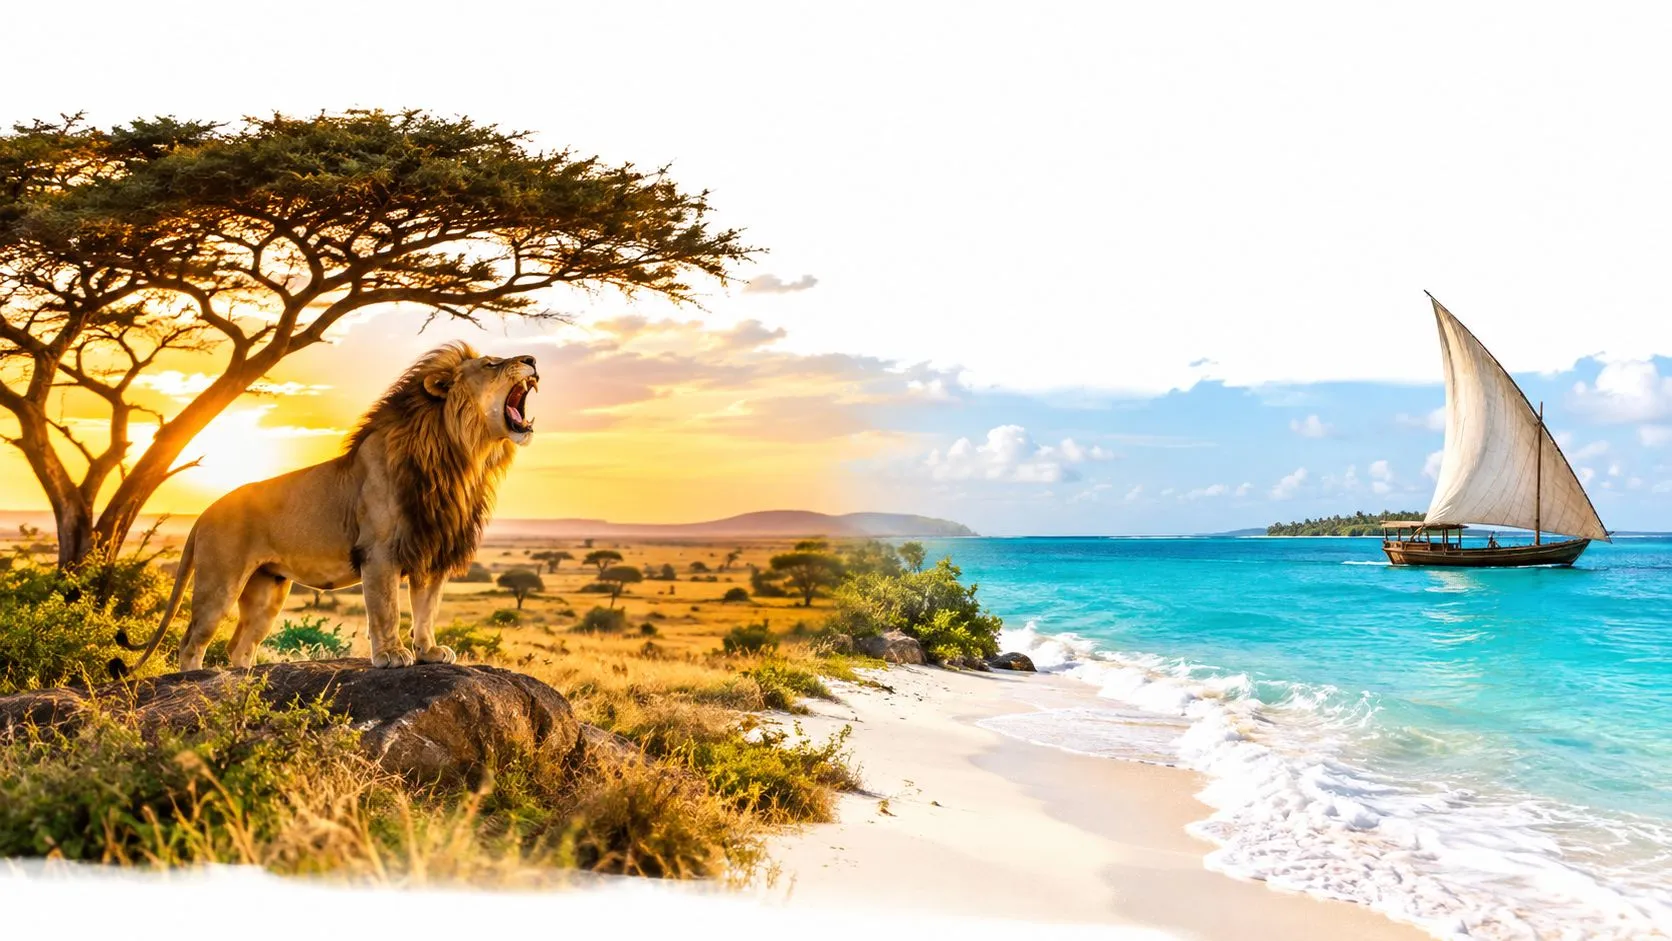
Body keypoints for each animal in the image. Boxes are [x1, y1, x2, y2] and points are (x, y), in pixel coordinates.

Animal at [112, 342, 540, 676]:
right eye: (491, 364)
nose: (532, 359)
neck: (460, 457)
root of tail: (203, 514)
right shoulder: (379, 553)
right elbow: (386, 609)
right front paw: (391, 655)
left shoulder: (432, 550)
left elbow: (426, 611)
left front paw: (430, 652)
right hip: (220, 582)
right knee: (191, 642)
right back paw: (196, 681)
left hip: (268, 591)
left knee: (240, 645)